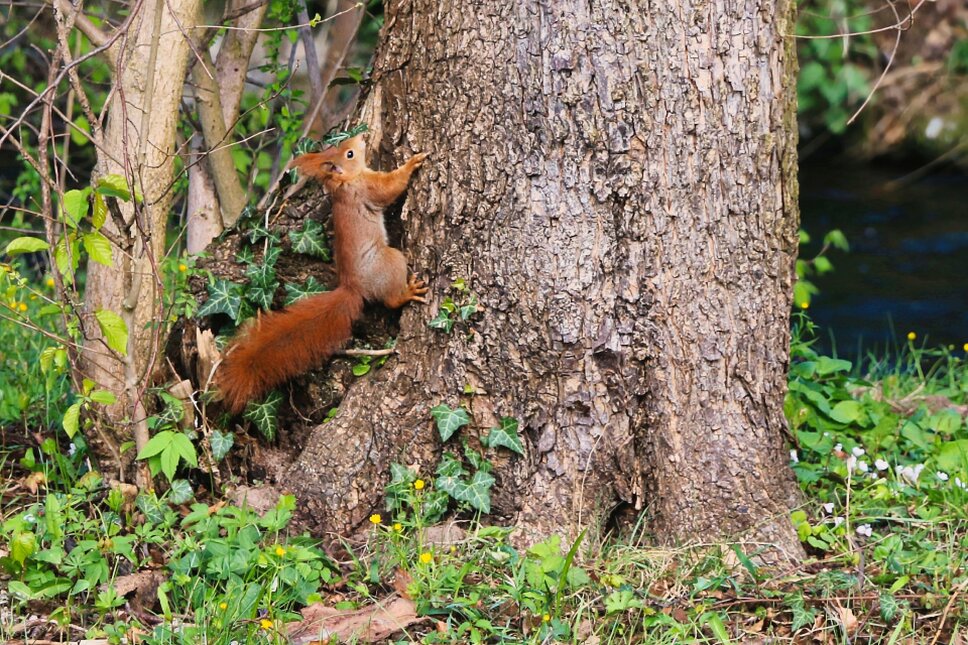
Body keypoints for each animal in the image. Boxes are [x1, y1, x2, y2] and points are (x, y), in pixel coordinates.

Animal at [217, 135, 429, 413]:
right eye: (349, 154)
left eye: (343, 147)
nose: (362, 136)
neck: (345, 182)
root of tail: (353, 288)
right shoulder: (367, 188)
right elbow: (390, 188)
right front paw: (412, 164)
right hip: (391, 261)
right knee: (392, 299)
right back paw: (409, 292)